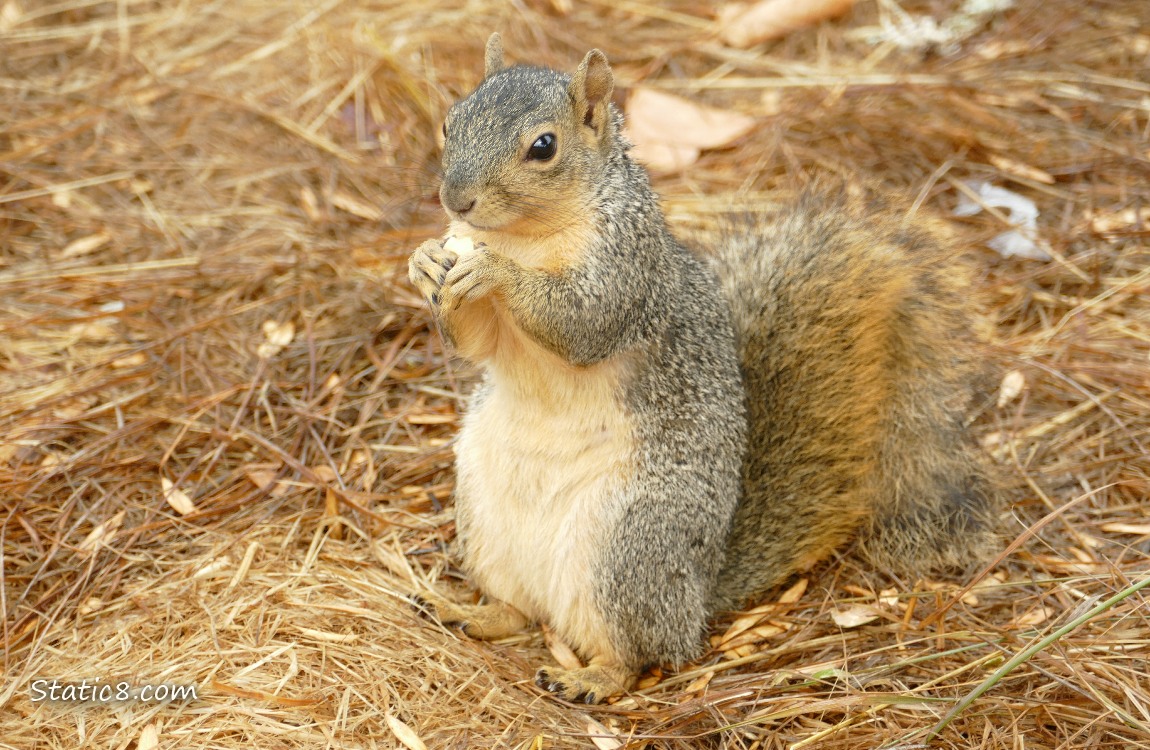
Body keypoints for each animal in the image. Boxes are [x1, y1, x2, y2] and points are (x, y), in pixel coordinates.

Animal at [406, 34, 997, 704]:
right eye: (450, 120)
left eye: (543, 147)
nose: (455, 200)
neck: (523, 236)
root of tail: (699, 590)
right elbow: (476, 344)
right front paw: (426, 262)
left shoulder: (628, 267)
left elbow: (582, 324)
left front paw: (496, 273)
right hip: (483, 512)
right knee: (518, 609)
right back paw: (469, 612)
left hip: (630, 543)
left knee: (638, 652)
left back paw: (591, 678)